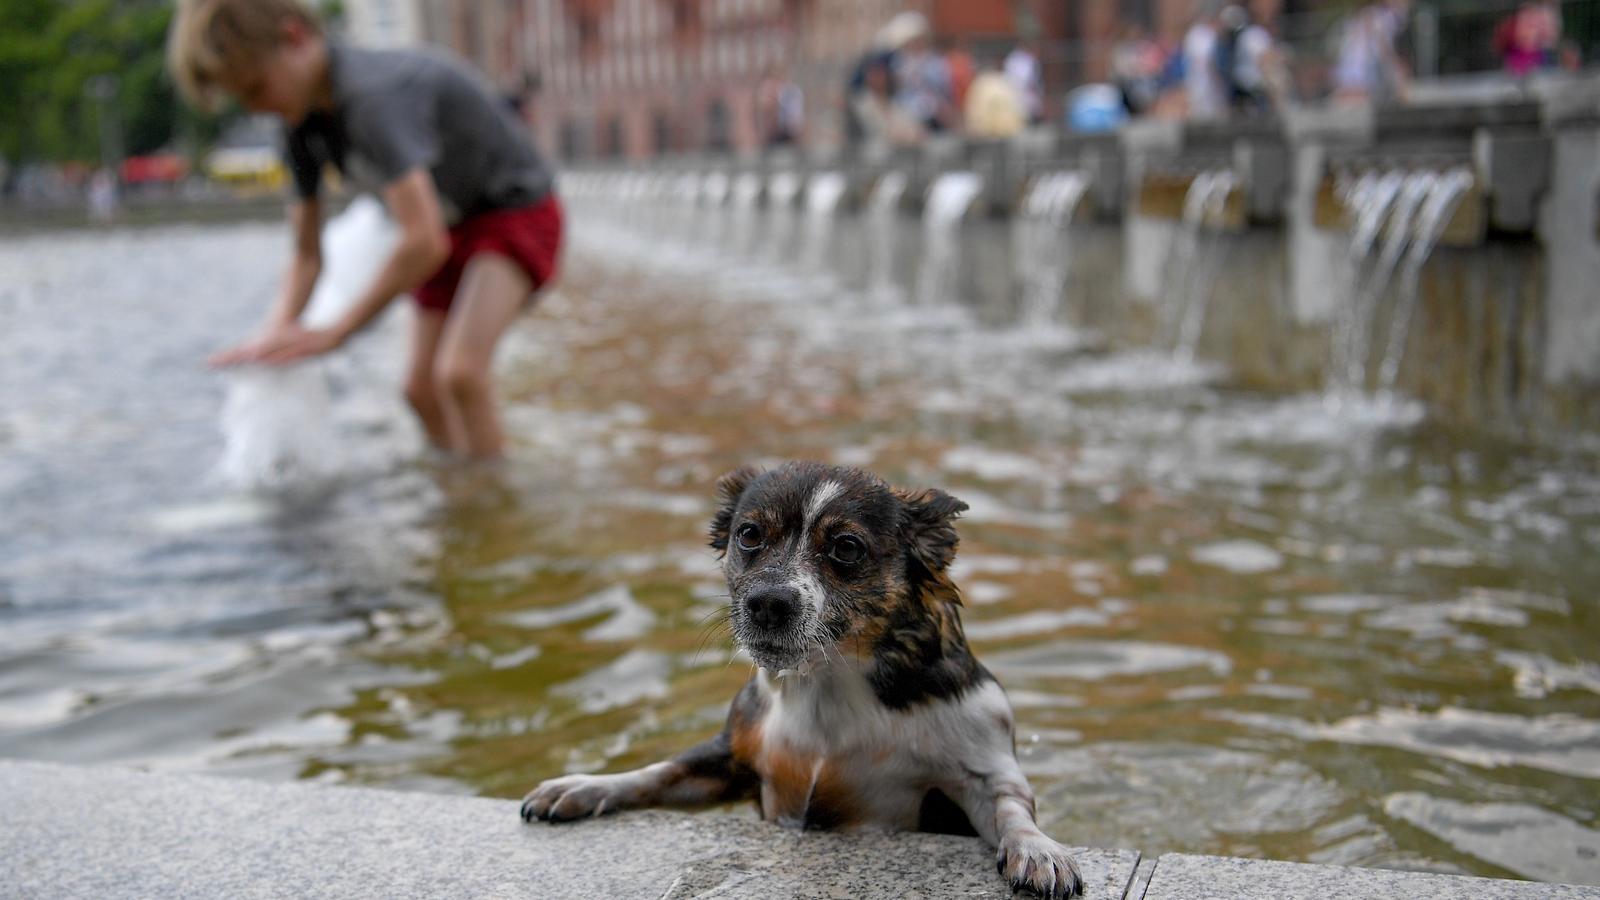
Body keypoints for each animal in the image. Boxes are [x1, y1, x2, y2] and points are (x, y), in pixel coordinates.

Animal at [524, 458, 1088, 890]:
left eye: (846, 548)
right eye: (749, 535)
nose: (767, 603)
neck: (826, 682)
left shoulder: (983, 767)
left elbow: (1011, 808)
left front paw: (1038, 851)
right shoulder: (734, 759)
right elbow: (657, 772)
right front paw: (584, 787)